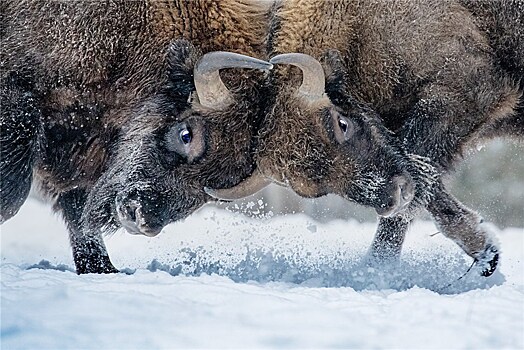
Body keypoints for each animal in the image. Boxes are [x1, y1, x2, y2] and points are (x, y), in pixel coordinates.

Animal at [1, 0, 274, 274]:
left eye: (214, 189)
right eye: (186, 135)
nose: (143, 220)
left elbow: (79, 209)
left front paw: (103, 268)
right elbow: (13, 195)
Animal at [207, 0, 520, 278]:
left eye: (342, 123)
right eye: (316, 189)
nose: (393, 196)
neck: (356, 25)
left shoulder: (463, 95)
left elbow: (418, 177)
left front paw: (377, 269)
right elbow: (424, 185)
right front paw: (487, 252)